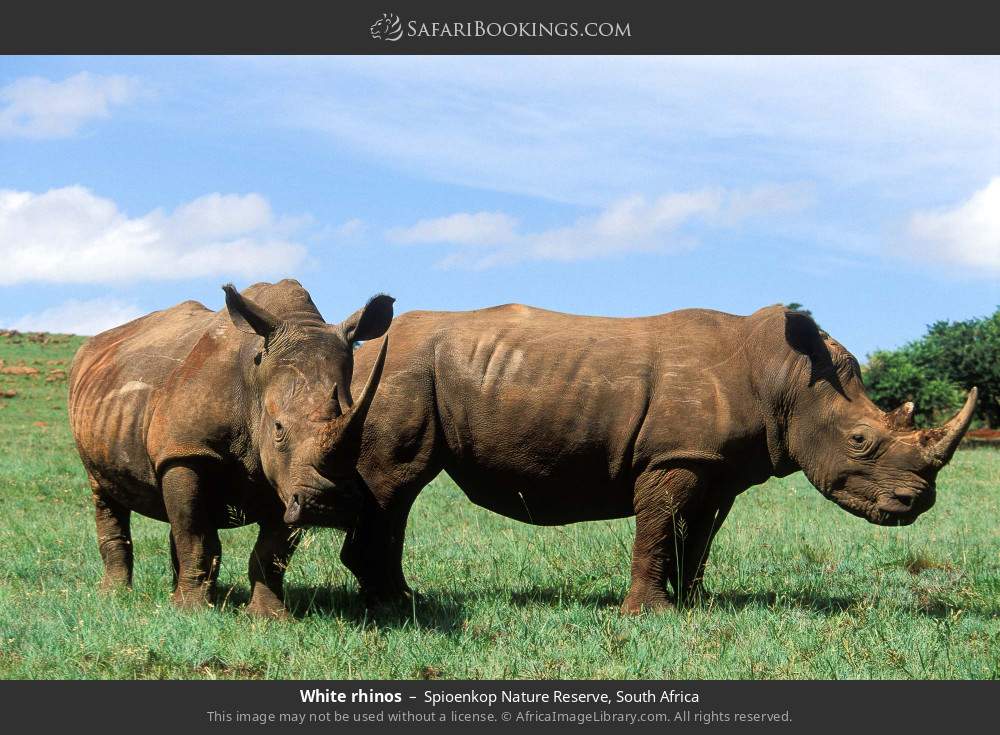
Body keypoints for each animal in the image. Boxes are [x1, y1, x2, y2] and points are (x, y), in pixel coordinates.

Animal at [69, 280, 393, 617]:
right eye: (278, 429)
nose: (327, 505)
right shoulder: (186, 451)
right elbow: (196, 535)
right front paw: (192, 611)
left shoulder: (287, 480)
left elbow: (271, 551)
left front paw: (269, 617)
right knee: (106, 493)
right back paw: (115, 595)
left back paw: (171, 591)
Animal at [344, 303, 977, 613]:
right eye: (860, 441)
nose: (917, 503)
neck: (788, 378)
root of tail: (361, 349)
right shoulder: (673, 456)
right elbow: (657, 527)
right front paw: (651, 614)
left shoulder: (715, 465)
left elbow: (695, 537)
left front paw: (697, 603)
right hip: (401, 373)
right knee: (397, 481)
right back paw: (393, 605)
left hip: (404, 374)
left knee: (397, 492)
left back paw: (399, 599)